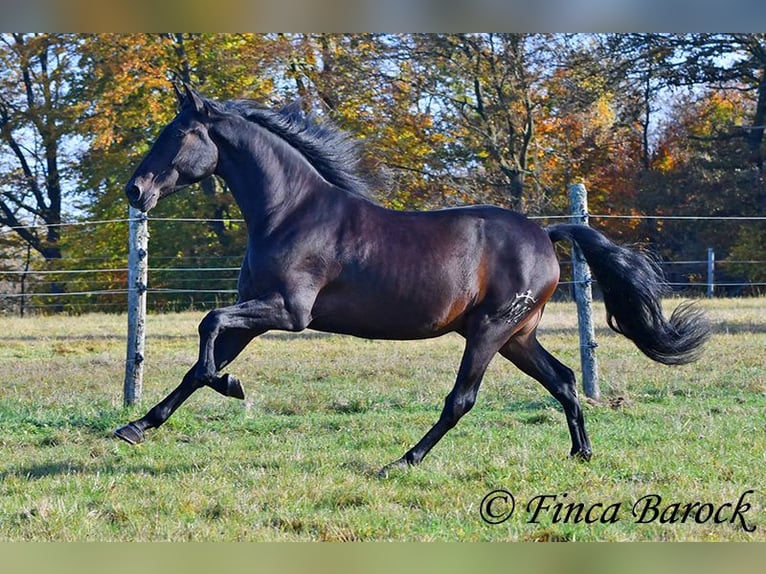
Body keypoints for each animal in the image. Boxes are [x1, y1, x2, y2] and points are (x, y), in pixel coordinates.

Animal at [115, 83, 712, 474]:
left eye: (180, 133)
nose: (134, 190)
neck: (289, 212)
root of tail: (545, 233)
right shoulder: (258, 314)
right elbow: (200, 361)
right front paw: (135, 428)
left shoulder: (288, 311)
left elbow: (208, 328)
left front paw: (231, 386)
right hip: (517, 336)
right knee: (564, 380)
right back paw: (582, 454)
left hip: (489, 332)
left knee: (462, 399)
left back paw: (403, 461)